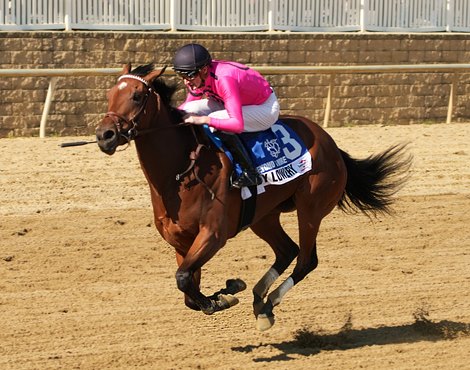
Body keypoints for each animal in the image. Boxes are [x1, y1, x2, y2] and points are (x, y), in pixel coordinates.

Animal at [96, 62, 412, 330]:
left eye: (137, 96)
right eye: (111, 94)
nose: (104, 135)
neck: (181, 171)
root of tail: (331, 144)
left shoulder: (213, 235)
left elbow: (184, 280)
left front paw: (222, 297)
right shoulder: (181, 243)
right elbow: (188, 290)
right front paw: (225, 292)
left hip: (311, 209)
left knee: (306, 260)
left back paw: (269, 303)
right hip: (264, 216)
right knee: (287, 251)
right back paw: (260, 296)